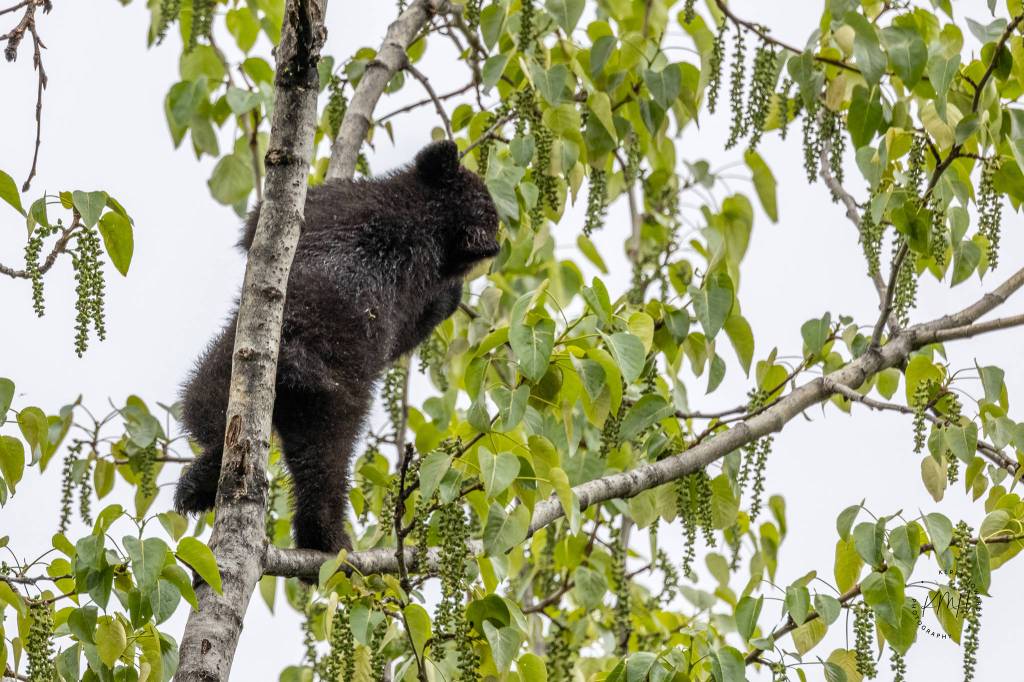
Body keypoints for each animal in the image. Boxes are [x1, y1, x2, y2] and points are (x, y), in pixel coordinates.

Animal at [173, 140, 499, 553]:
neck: (426, 219)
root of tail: (304, 352)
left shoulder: (331, 205)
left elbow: (253, 227)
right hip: (306, 391)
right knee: (310, 458)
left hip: (249, 365)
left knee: (211, 410)